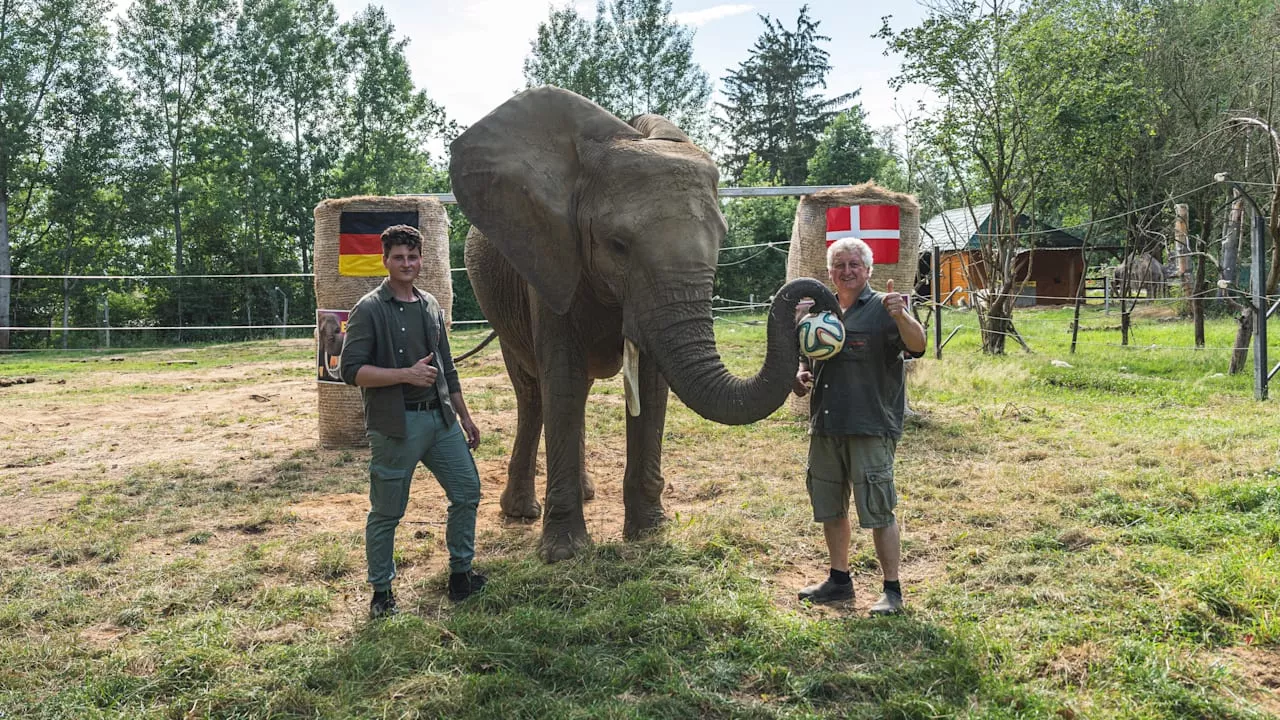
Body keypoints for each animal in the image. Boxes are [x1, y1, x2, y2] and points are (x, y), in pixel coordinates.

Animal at [450, 87, 839, 561]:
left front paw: (650, 533)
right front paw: (563, 553)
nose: (813, 298)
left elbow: (652, 386)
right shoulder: (550, 262)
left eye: (722, 239)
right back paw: (522, 511)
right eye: (617, 245)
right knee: (534, 394)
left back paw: (585, 493)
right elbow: (561, 378)